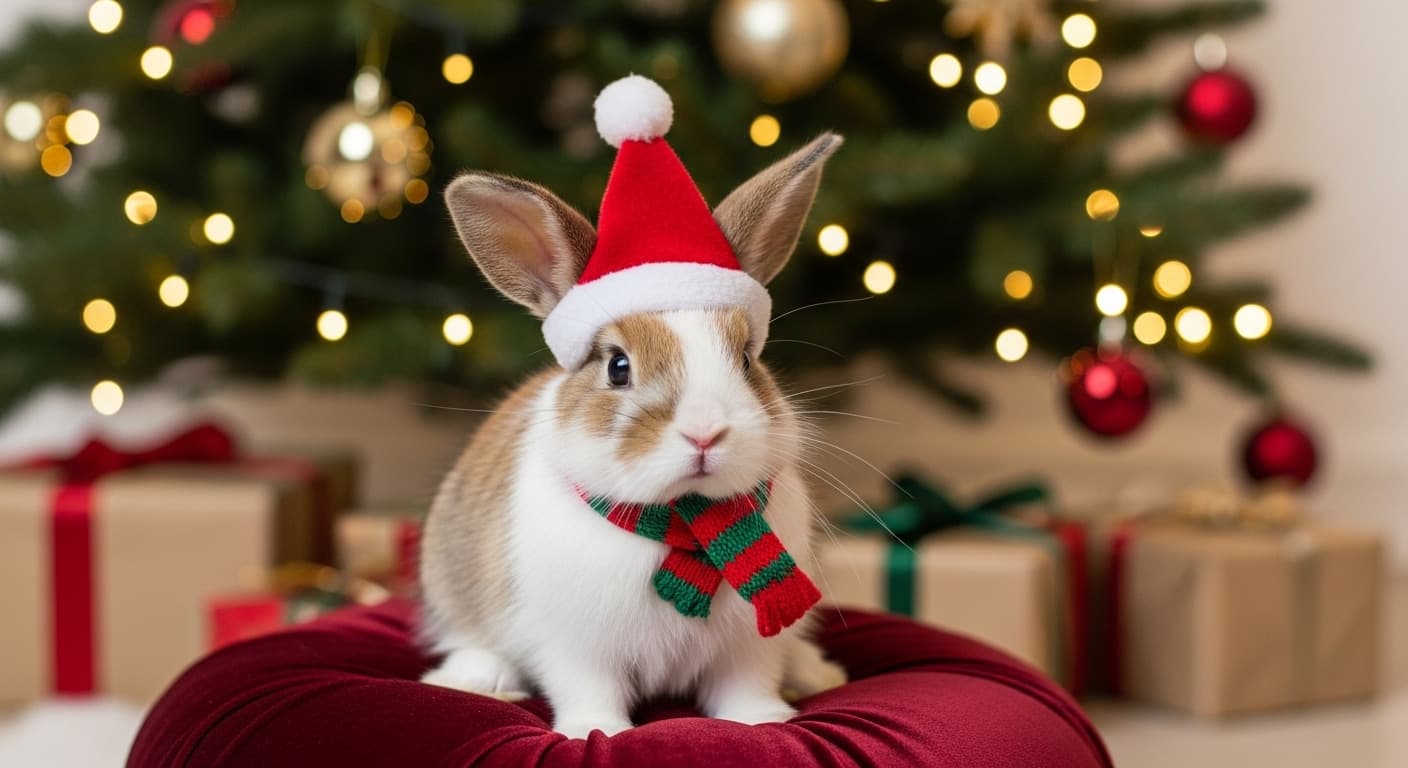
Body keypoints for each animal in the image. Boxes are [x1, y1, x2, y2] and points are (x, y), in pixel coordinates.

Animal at [419, 81, 845, 738]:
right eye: (618, 366)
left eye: (747, 358)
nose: (705, 433)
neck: (687, 525)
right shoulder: (575, 646)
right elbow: (588, 689)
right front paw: (598, 733)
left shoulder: (747, 648)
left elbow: (744, 686)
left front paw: (762, 722)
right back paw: (478, 678)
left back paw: (817, 673)